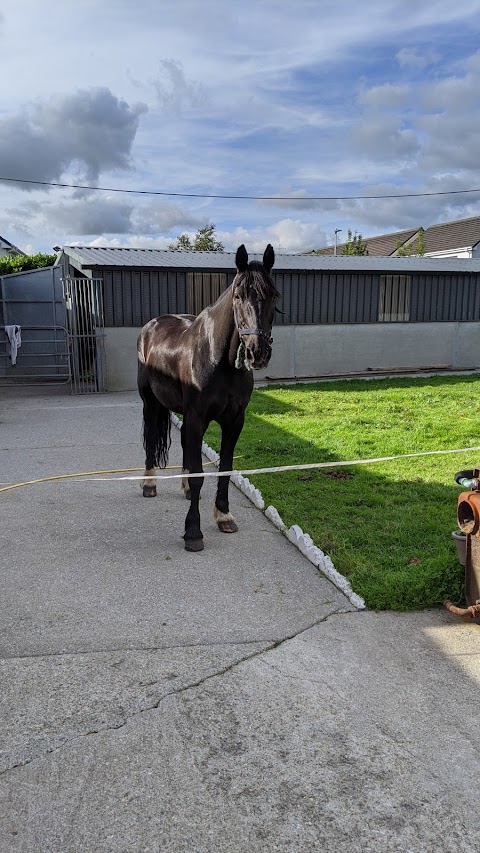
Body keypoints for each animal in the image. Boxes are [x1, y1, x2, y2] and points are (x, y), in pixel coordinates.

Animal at [137, 243, 278, 548]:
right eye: (238, 296)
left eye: (274, 296)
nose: (257, 352)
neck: (218, 360)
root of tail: (150, 326)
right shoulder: (197, 419)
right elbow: (200, 473)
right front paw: (193, 532)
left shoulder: (234, 421)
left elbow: (223, 468)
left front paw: (224, 516)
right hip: (150, 403)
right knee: (151, 437)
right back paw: (149, 483)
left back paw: (186, 489)